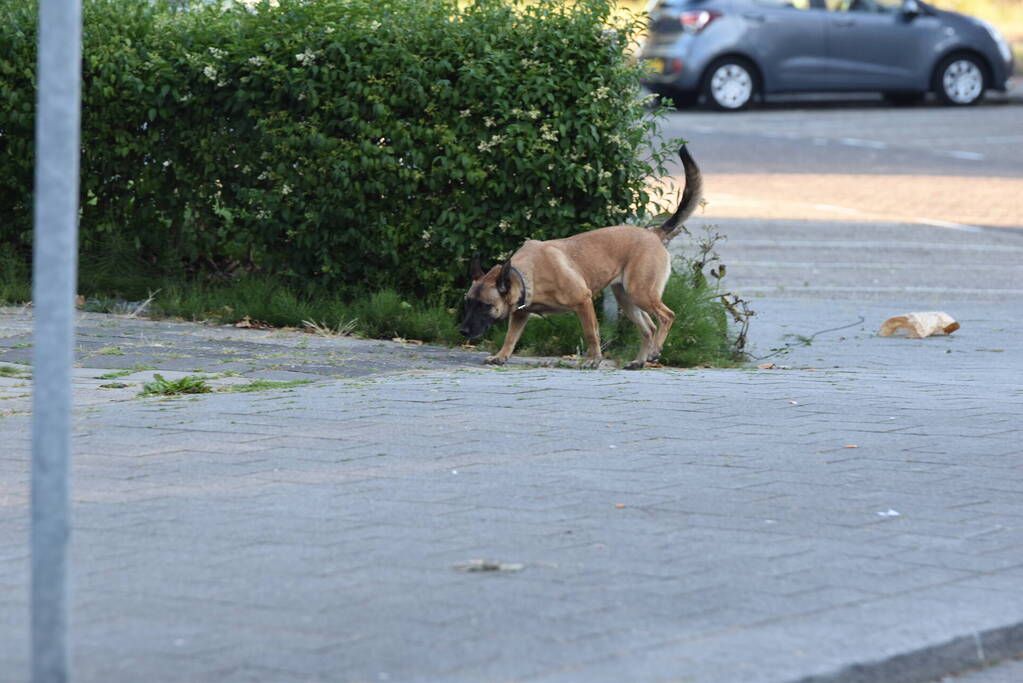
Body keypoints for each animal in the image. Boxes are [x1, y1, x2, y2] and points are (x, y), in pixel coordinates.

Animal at [460, 144, 699, 368]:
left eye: (485, 306)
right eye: (468, 303)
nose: (463, 331)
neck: (528, 273)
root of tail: (654, 233)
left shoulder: (583, 302)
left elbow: (591, 333)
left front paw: (593, 360)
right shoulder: (520, 314)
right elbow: (511, 337)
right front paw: (501, 355)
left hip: (640, 292)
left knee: (667, 316)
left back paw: (655, 350)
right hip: (627, 298)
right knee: (649, 327)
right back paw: (640, 361)